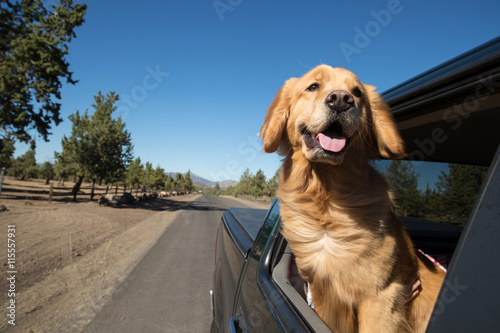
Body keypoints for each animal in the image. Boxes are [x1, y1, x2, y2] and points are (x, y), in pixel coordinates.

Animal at [260, 65, 444, 332]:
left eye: (357, 93)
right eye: (313, 86)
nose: (340, 99)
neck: (327, 198)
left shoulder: (381, 295)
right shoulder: (324, 293)